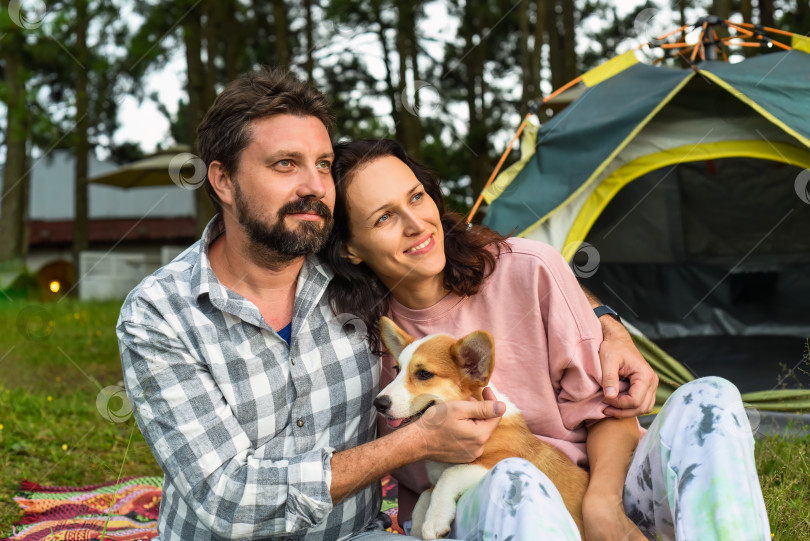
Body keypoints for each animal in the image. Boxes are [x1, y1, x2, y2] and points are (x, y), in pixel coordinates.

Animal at [372, 316, 588, 540]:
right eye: (397, 370)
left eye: (424, 374)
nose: (378, 404)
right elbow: (426, 492)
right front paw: (417, 525)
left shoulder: (499, 459)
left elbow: (449, 475)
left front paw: (434, 520)